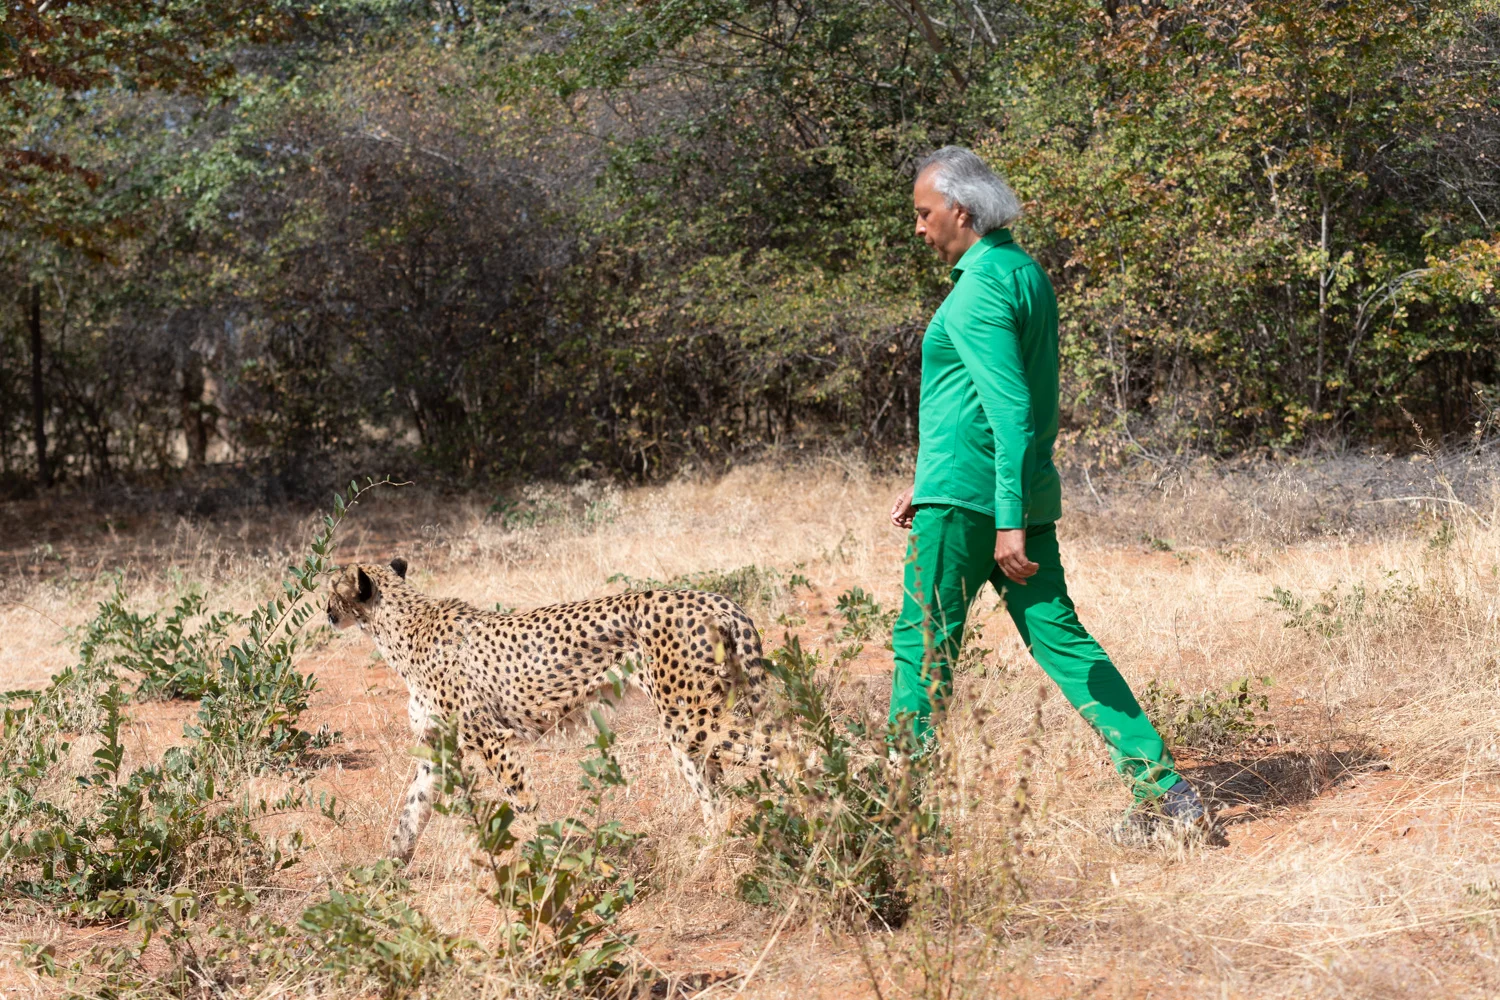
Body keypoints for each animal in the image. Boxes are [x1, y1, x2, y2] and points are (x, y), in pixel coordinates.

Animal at [325, 560, 774, 863]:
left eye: (332, 588)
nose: (326, 612)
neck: (400, 626)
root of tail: (715, 598)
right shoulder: (438, 747)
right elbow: (412, 809)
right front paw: (390, 867)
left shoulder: (493, 740)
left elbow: (522, 803)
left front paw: (543, 856)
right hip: (690, 725)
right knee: (717, 796)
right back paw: (711, 851)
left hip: (691, 720)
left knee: (781, 743)